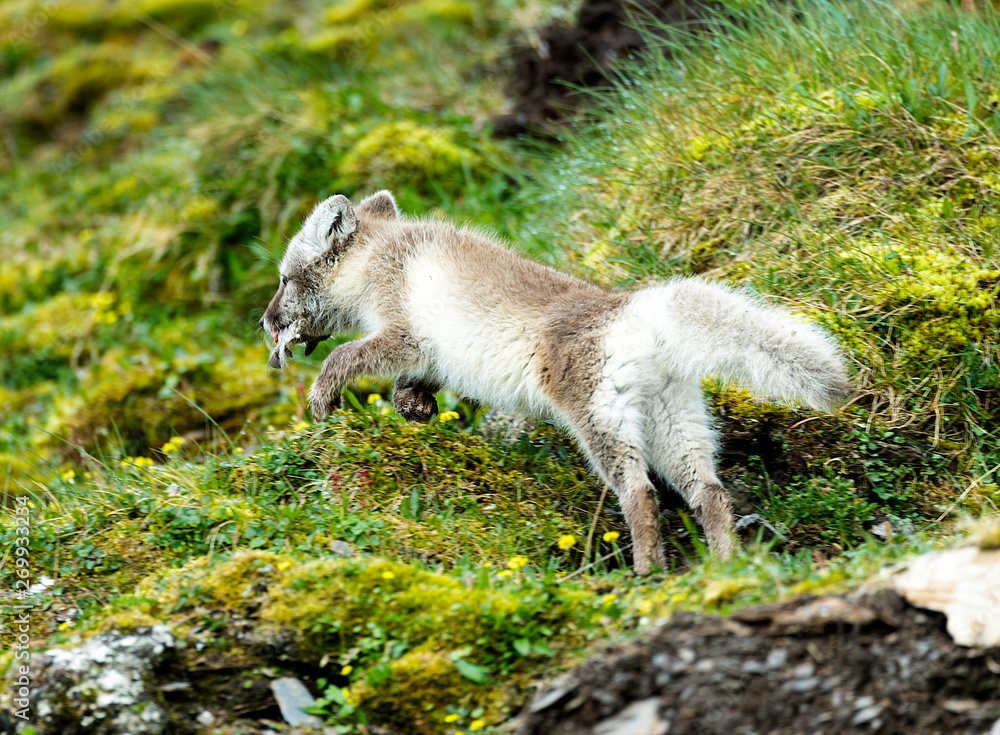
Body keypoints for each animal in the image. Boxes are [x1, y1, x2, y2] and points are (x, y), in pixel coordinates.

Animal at [260, 190, 852, 573]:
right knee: (709, 491)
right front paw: (414, 406)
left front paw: (322, 398)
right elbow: (416, 381)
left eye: (285, 279)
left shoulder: (403, 331)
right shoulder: (434, 355)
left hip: (599, 420)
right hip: (675, 423)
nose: (265, 323)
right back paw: (726, 564)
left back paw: (647, 571)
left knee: (639, 492)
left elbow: (347, 355)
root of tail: (633, 310)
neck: (380, 255)